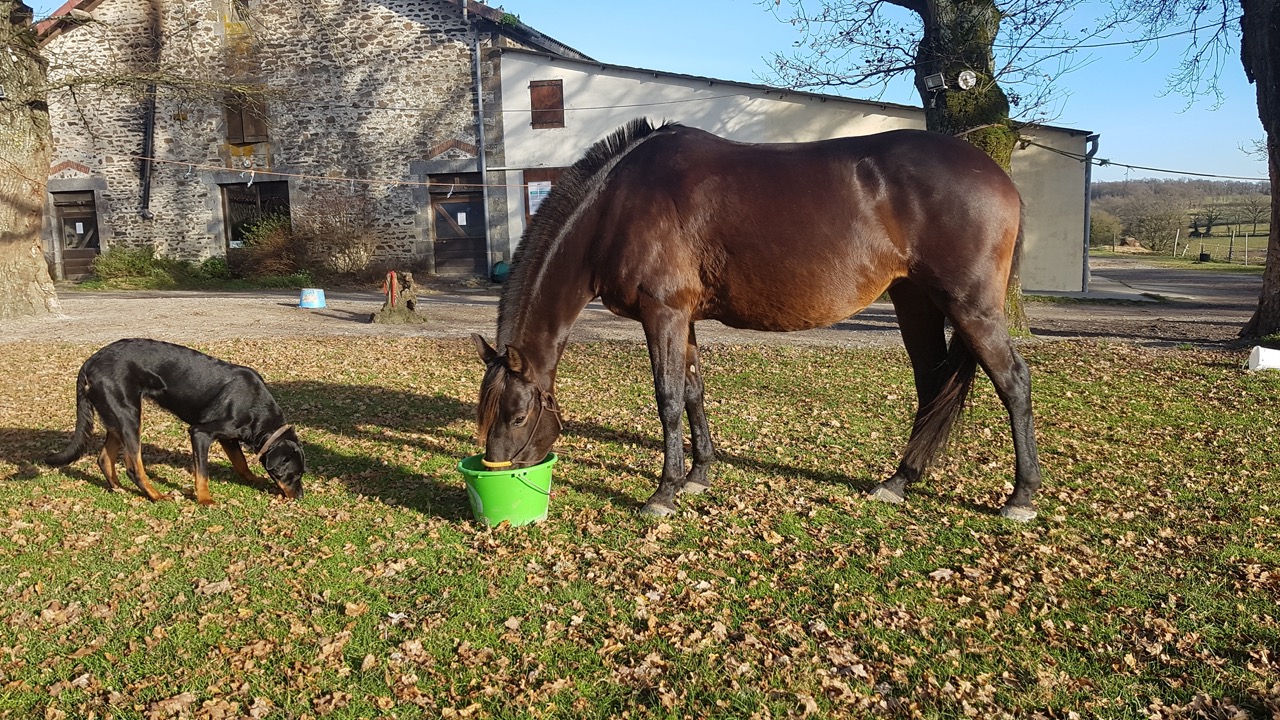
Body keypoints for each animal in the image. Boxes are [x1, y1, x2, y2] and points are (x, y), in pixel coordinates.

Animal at [44, 338, 304, 502]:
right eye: (294, 475)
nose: (301, 497)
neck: (256, 409)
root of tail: (89, 364)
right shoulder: (200, 433)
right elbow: (202, 473)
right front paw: (205, 499)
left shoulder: (228, 438)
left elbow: (241, 463)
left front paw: (253, 480)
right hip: (129, 417)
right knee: (133, 466)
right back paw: (156, 495)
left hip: (115, 418)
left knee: (104, 458)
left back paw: (118, 489)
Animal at [476, 119, 1044, 520]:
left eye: (518, 415)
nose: (497, 469)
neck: (616, 204)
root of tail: (1000, 178)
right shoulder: (684, 317)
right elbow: (693, 391)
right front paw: (698, 475)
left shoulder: (662, 312)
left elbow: (667, 399)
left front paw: (664, 492)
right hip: (915, 300)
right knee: (931, 386)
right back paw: (898, 482)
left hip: (969, 306)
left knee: (1014, 382)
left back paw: (1021, 497)